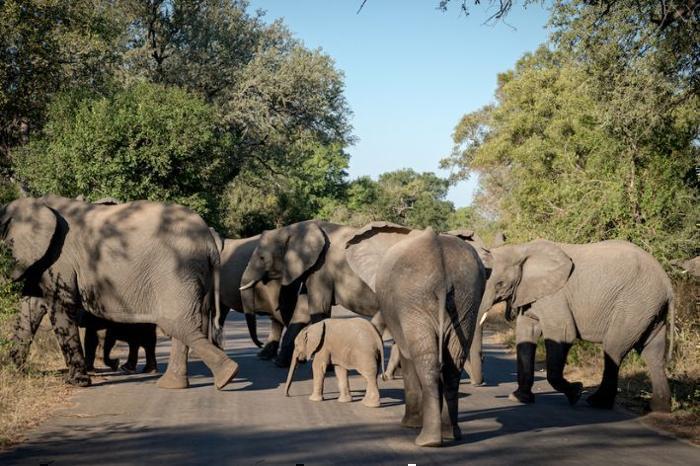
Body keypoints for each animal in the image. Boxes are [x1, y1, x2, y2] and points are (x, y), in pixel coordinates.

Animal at [0, 195, 238, 388]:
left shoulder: (60, 259)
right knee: (183, 323)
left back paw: (226, 375)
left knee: (176, 322)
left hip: (177, 270)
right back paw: (180, 383)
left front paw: (78, 382)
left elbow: (60, 306)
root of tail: (210, 241)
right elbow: (30, 307)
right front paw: (12, 371)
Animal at [241, 220, 382, 366]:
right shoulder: (311, 269)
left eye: (262, 258)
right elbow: (301, 313)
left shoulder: (321, 269)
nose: (260, 344)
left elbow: (320, 310)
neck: (292, 229)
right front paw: (279, 364)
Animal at [344, 222, 486, 448]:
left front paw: (409, 424)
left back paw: (428, 440)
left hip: (413, 300)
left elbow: (407, 357)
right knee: (452, 363)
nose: (382, 376)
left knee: (425, 361)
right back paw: (451, 434)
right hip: (465, 298)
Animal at [470, 240, 672, 412]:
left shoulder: (554, 296)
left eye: (500, 284)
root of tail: (667, 282)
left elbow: (563, 333)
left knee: (614, 349)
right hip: (649, 309)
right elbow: (526, 334)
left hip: (634, 304)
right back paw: (658, 408)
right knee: (653, 352)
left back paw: (597, 403)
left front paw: (576, 392)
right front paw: (519, 399)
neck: (520, 249)